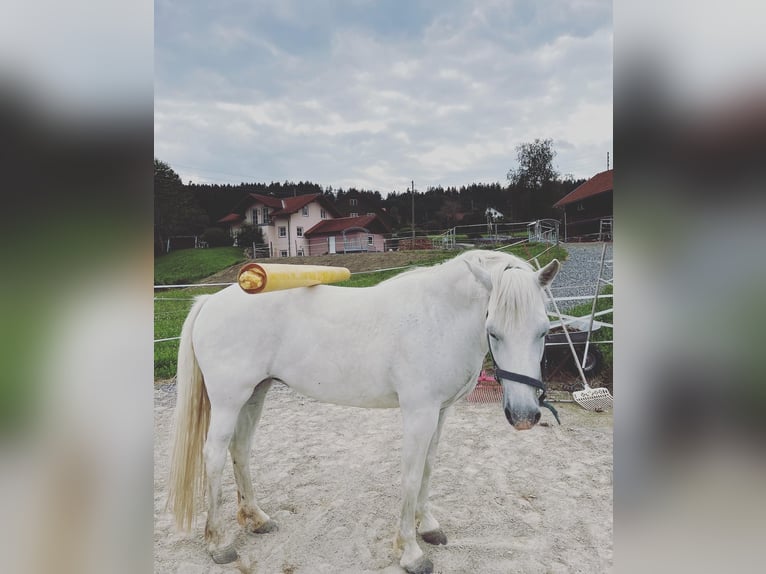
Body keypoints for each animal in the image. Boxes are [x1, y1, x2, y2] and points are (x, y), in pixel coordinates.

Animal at [168, 252, 560, 574]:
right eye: (493, 330)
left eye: (544, 331)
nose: (524, 415)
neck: (438, 317)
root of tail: (210, 302)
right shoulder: (418, 413)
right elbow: (411, 476)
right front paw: (411, 553)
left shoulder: (440, 412)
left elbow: (429, 470)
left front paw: (429, 527)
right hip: (228, 400)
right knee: (214, 456)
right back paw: (218, 543)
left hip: (255, 394)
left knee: (241, 450)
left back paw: (257, 519)